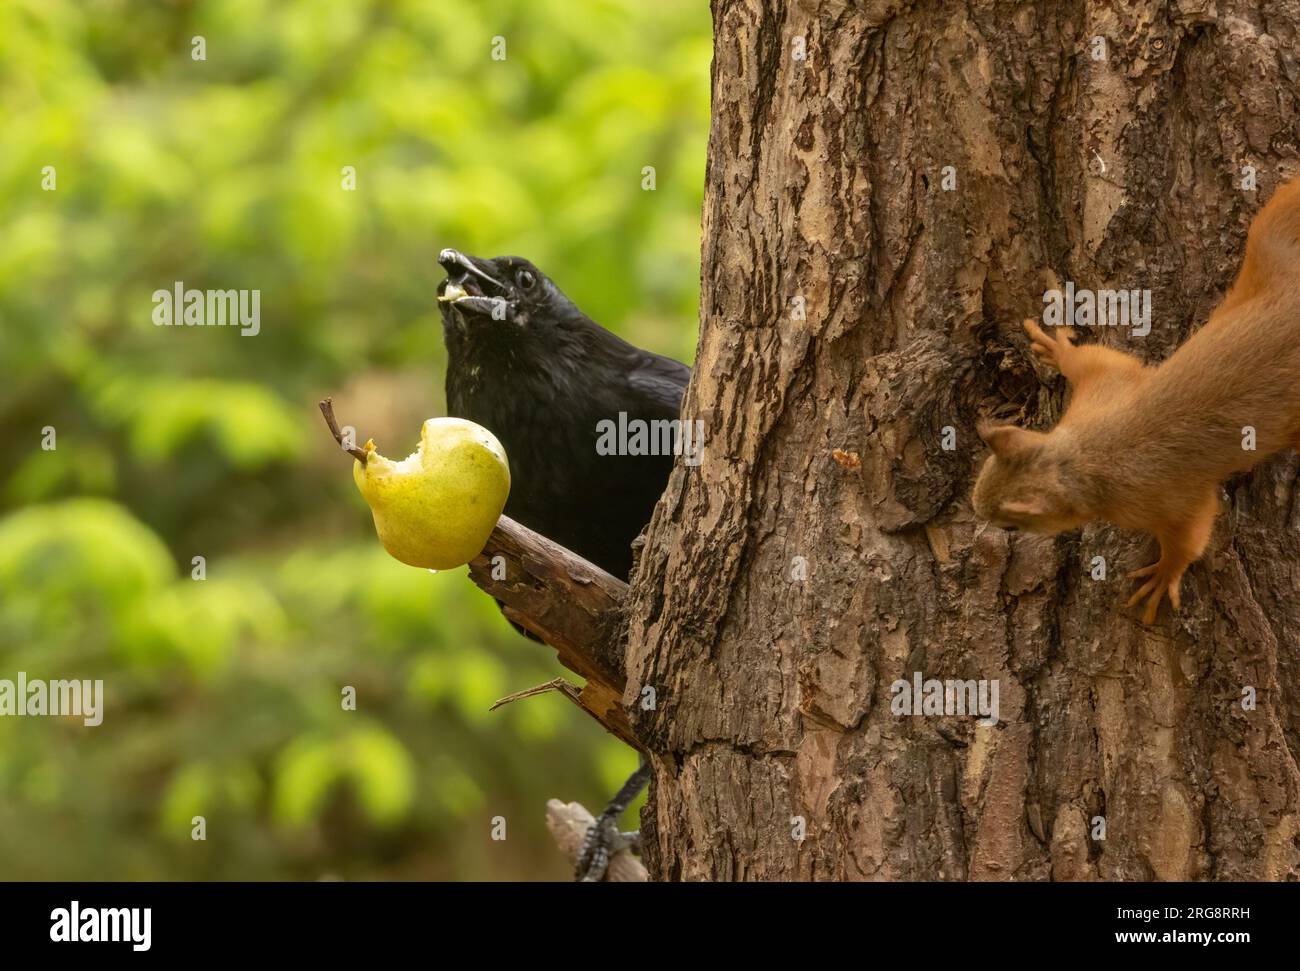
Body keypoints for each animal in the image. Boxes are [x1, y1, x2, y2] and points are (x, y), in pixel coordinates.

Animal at [972, 176, 1300, 623]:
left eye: (1011, 526)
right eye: (985, 470)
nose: (975, 508)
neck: (1080, 456)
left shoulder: (1164, 499)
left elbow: (1189, 534)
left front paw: (1163, 575)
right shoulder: (1104, 390)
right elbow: (1098, 362)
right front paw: (1058, 351)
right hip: (1273, 243)